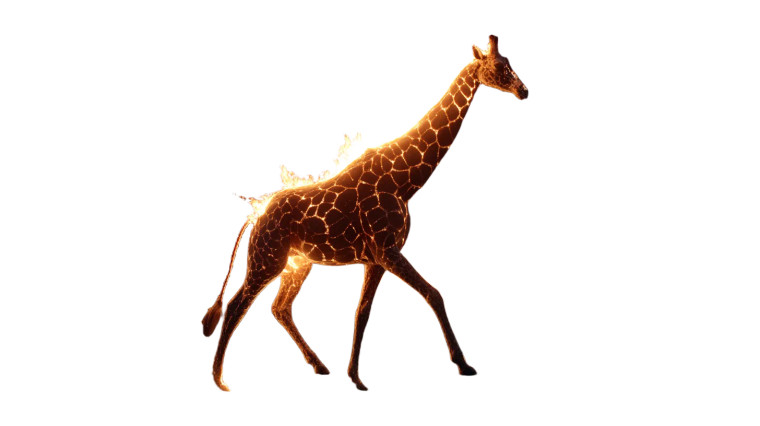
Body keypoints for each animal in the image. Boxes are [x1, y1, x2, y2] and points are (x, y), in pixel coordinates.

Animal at [202, 35, 528, 391]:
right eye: (499, 67)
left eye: (510, 62)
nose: (524, 90)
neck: (405, 181)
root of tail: (255, 216)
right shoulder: (387, 250)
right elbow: (434, 294)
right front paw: (463, 364)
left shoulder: (375, 259)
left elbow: (362, 313)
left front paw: (355, 377)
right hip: (267, 259)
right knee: (237, 305)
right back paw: (219, 379)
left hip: (297, 264)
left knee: (280, 308)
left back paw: (319, 365)